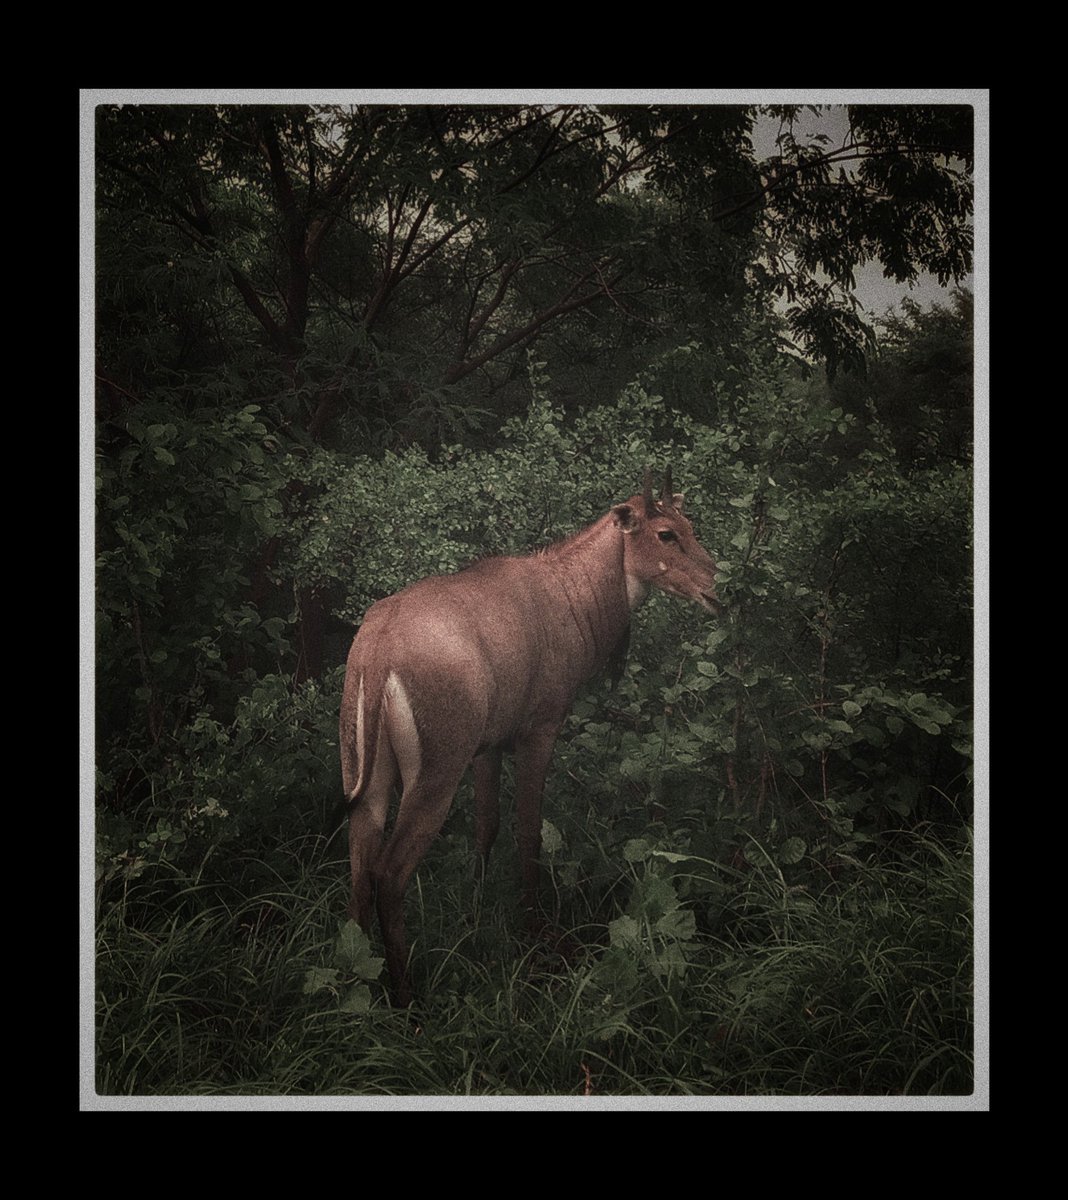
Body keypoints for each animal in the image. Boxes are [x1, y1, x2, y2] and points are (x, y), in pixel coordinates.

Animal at [339, 470, 719, 1005]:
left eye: (689, 524)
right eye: (666, 533)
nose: (717, 587)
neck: (573, 596)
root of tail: (376, 654)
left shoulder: (490, 746)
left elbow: (487, 825)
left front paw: (476, 914)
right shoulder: (539, 728)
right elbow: (528, 831)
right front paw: (536, 932)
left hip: (366, 777)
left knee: (358, 863)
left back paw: (353, 983)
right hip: (434, 774)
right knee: (388, 874)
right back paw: (408, 996)